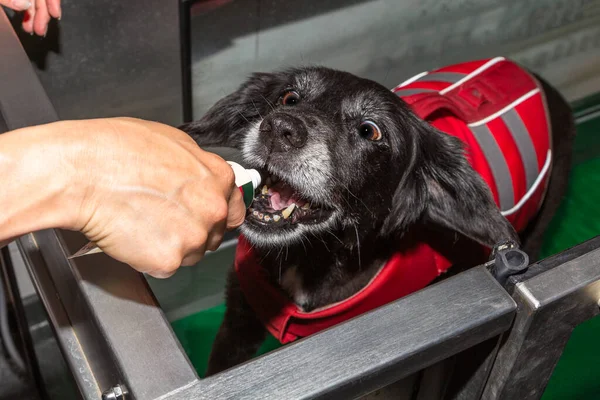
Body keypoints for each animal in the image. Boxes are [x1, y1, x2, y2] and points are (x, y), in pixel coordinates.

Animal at [180, 58, 576, 376]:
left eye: (370, 130)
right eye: (289, 98)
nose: (279, 128)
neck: (311, 259)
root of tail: (536, 78)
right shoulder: (240, 320)